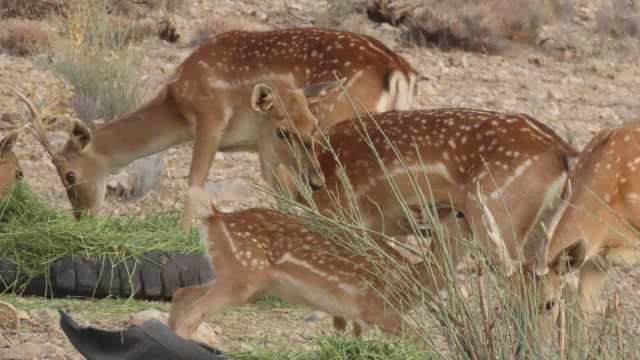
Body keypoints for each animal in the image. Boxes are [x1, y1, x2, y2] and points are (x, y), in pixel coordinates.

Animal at [15, 28, 418, 228]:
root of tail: (399, 70)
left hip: (341, 123)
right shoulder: (261, 144)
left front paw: (180, 237)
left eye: (68, 174)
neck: (177, 102)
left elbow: (194, 184)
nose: (82, 217)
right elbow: (282, 194)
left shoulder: (210, 118)